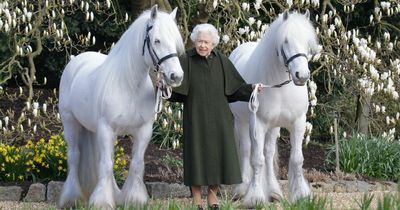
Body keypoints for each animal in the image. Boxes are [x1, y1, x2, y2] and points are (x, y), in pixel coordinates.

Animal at [57, 5, 184, 209]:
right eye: (157, 40)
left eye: (175, 42)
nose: (176, 76)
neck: (129, 85)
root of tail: (77, 60)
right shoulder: (106, 129)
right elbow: (106, 165)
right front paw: (101, 202)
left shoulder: (143, 131)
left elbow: (136, 164)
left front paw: (134, 199)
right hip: (70, 123)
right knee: (75, 157)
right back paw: (71, 198)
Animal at [230, 10, 320, 208]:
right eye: (285, 41)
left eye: (308, 42)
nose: (302, 75)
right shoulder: (257, 124)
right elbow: (257, 160)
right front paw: (254, 197)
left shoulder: (298, 123)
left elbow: (296, 159)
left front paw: (301, 195)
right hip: (242, 123)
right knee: (247, 151)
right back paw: (242, 189)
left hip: (273, 127)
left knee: (269, 152)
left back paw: (273, 192)